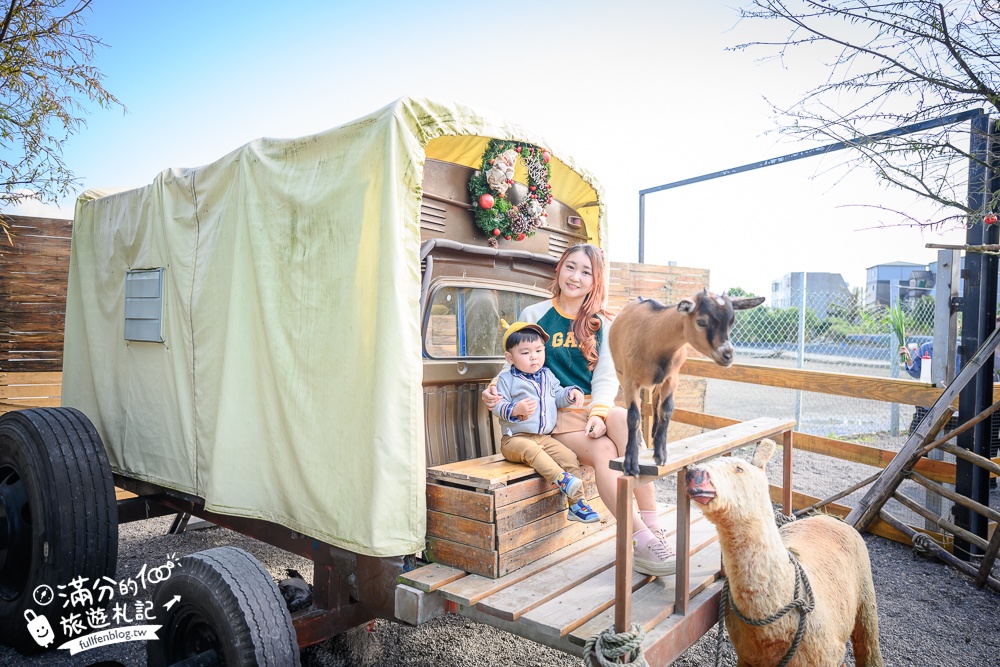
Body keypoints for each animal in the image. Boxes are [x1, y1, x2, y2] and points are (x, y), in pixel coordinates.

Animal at [604, 290, 760, 474]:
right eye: (701, 322)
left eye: (731, 321)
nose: (727, 355)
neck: (652, 339)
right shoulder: (629, 379)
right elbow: (633, 416)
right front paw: (630, 463)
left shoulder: (673, 377)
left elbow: (667, 410)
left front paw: (660, 455)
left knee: (655, 404)